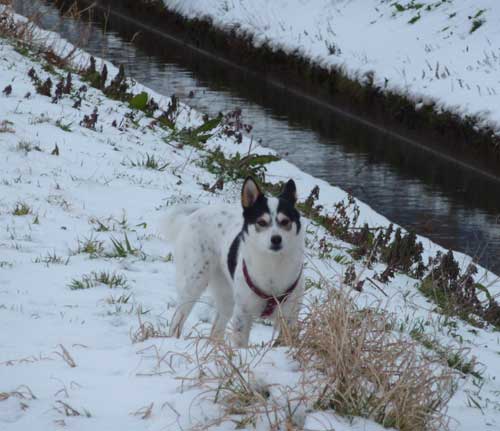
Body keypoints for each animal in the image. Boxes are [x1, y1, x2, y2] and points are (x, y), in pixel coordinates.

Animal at [165, 176, 304, 348]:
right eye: (261, 222)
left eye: (285, 222)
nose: (276, 239)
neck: (273, 263)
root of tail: (195, 215)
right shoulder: (242, 315)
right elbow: (240, 343)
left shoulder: (290, 317)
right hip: (193, 282)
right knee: (178, 319)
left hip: (226, 294)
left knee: (216, 329)